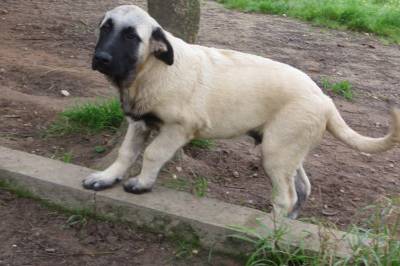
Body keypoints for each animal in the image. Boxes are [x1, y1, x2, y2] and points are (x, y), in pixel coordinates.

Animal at [83, 5, 398, 219]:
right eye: (105, 28)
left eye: (131, 37)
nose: (100, 58)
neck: (152, 69)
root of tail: (325, 99)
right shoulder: (138, 122)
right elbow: (126, 153)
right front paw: (107, 177)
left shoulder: (178, 128)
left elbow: (152, 154)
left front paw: (143, 183)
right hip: (287, 148)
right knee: (303, 187)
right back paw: (289, 223)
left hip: (276, 151)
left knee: (286, 195)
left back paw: (272, 230)